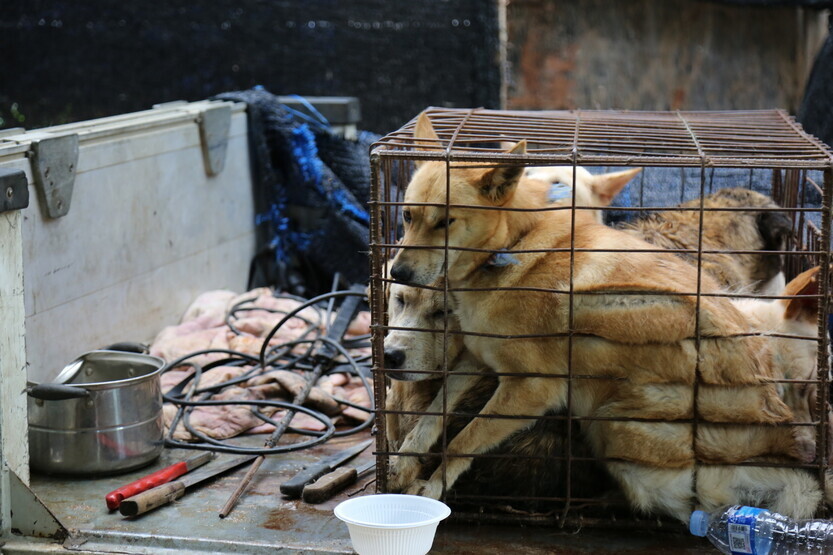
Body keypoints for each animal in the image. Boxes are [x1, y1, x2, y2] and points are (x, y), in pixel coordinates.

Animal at [388, 115, 812, 506]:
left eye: (445, 222)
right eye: (407, 216)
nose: (397, 273)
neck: (512, 246)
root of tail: (782, 423)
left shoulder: (529, 388)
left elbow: (463, 440)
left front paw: (432, 487)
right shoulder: (476, 359)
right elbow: (434, 413)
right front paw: (406, 461)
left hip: (613, 405)